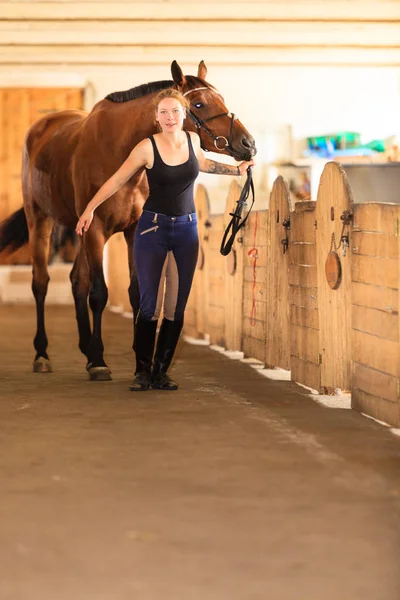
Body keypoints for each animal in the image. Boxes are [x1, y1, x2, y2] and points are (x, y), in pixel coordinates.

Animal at [0, 61, 256, 380]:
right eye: (198, 103)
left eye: (220, 98)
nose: (248, 143)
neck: (118, 149)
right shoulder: (96, 229)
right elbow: (99, 293)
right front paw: (100, 361)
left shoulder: (134, 231)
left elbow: (137, 292)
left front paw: (137, 360)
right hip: (41, 221)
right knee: (41, 283)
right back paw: (43, 354)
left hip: (79, 230)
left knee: (76, 281)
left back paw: (85, 348)